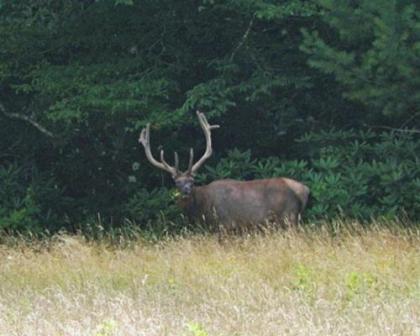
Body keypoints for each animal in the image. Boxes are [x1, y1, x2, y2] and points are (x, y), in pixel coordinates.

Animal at [139, 111, 310, 232]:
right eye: (176, 182)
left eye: (192, 181)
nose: (186, 190)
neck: (203, 209)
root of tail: (305, 190)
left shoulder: (225, 225)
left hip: (288, 217)